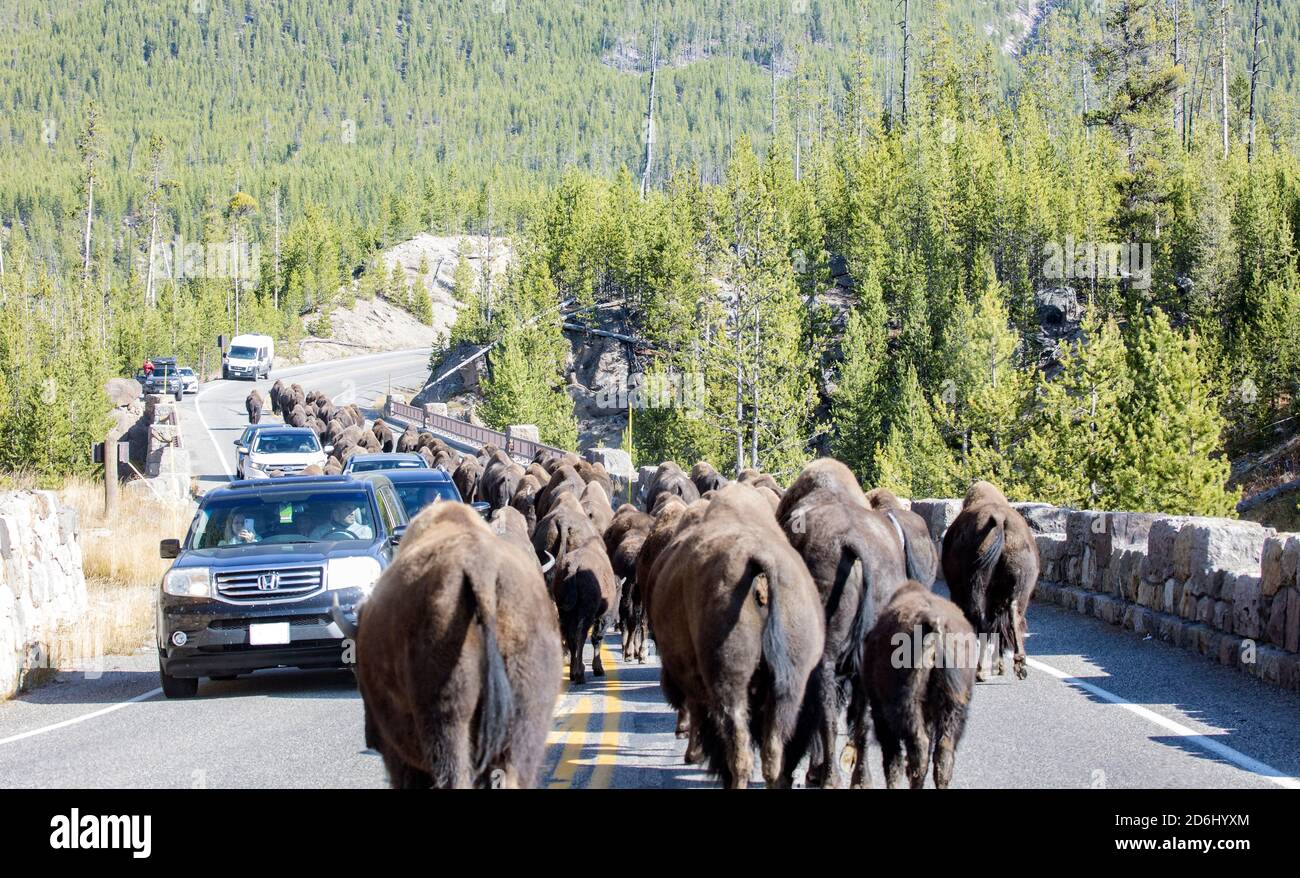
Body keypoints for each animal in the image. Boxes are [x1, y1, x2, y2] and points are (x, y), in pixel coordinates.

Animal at [650, 481, 821, 790]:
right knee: (773, 756)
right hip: (787, 688)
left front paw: (692, 753)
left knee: (739, 750)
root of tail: (761, 568)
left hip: (730, 684)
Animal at [863, 582, 977, 790]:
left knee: (918, 749)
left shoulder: (880, 711)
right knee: (943, 752)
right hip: (953, 705)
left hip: (908, 705)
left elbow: (893, 759)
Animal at [941, 481, 1040, 681]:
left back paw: (982, 670)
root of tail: (1000, 519)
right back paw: (1018, 665)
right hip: (1020, 588)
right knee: (1013, 618)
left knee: (983, 623)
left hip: (977, 589)